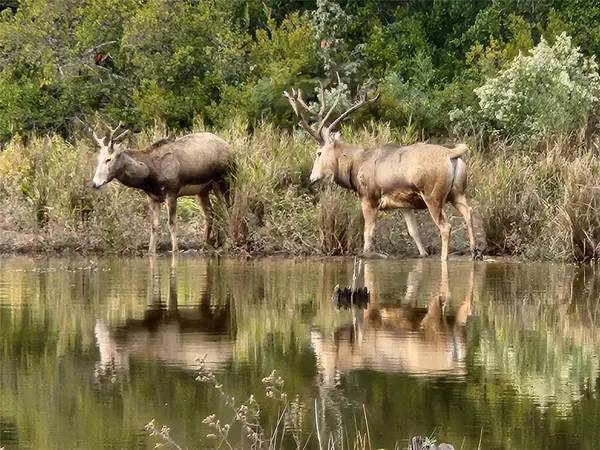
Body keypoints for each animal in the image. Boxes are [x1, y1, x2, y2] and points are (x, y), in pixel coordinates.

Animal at [88, 121, 236, 255]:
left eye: (108, 159)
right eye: (98, 159)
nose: (95, 183)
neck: (149, 175)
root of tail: (230, 148)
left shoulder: (171, 192)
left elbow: (172, 224)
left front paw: (175, 250)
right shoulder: (152, 197)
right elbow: (154, 226)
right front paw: (150, 251)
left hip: (224, 179)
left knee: (227, 209)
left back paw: (227, 242)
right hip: (202, 190)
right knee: (210, 213)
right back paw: (205, 244)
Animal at [284, 76, 476, 260]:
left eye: (319, 152)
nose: (312, 177)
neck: (354, 168)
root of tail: (452, 154)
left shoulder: (369, 198)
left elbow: (367, 235)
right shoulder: (404, 205)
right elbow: (413, 232)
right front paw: (423, 253)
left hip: (432, 195)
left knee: (446, 226)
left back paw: (445, 257)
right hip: (458, 192)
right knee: (469, 214)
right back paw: (475, 252)